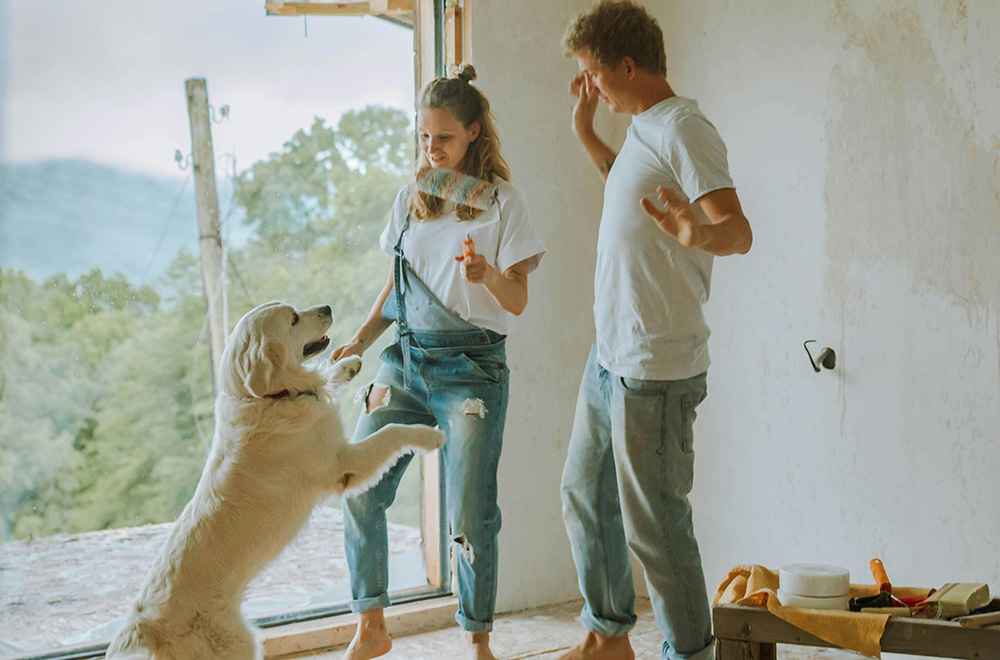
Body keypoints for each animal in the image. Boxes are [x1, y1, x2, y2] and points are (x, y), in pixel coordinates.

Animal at [104, 302, 442, 660]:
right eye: (293, 318)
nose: (327, 307)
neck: (267, 396)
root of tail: (141, 634)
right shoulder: (343, 463)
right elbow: (391, 431)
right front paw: (430, 437)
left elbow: (324, 379)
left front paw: (347, 363)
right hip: (239, 642)